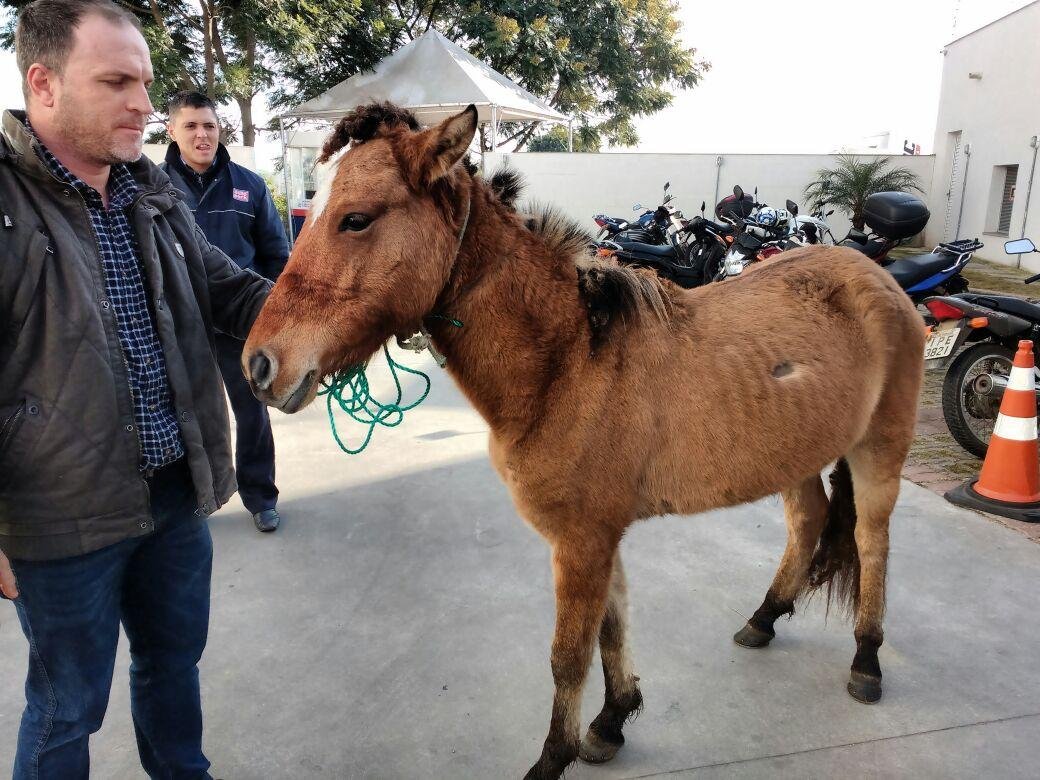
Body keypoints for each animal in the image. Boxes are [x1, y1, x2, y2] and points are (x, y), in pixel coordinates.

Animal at [243, 102, 924, 780]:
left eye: (355, 218)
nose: (259, 365)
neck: (569, 360)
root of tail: (877, 275)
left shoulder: (582, 541)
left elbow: (569, 654)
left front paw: (553, 758)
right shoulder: (597, 537)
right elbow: (611, 628)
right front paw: (612, 721)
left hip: (877, 450)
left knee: (872, 539)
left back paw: (867, 661)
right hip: (797, 454)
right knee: (808, 520)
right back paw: (764, 619)